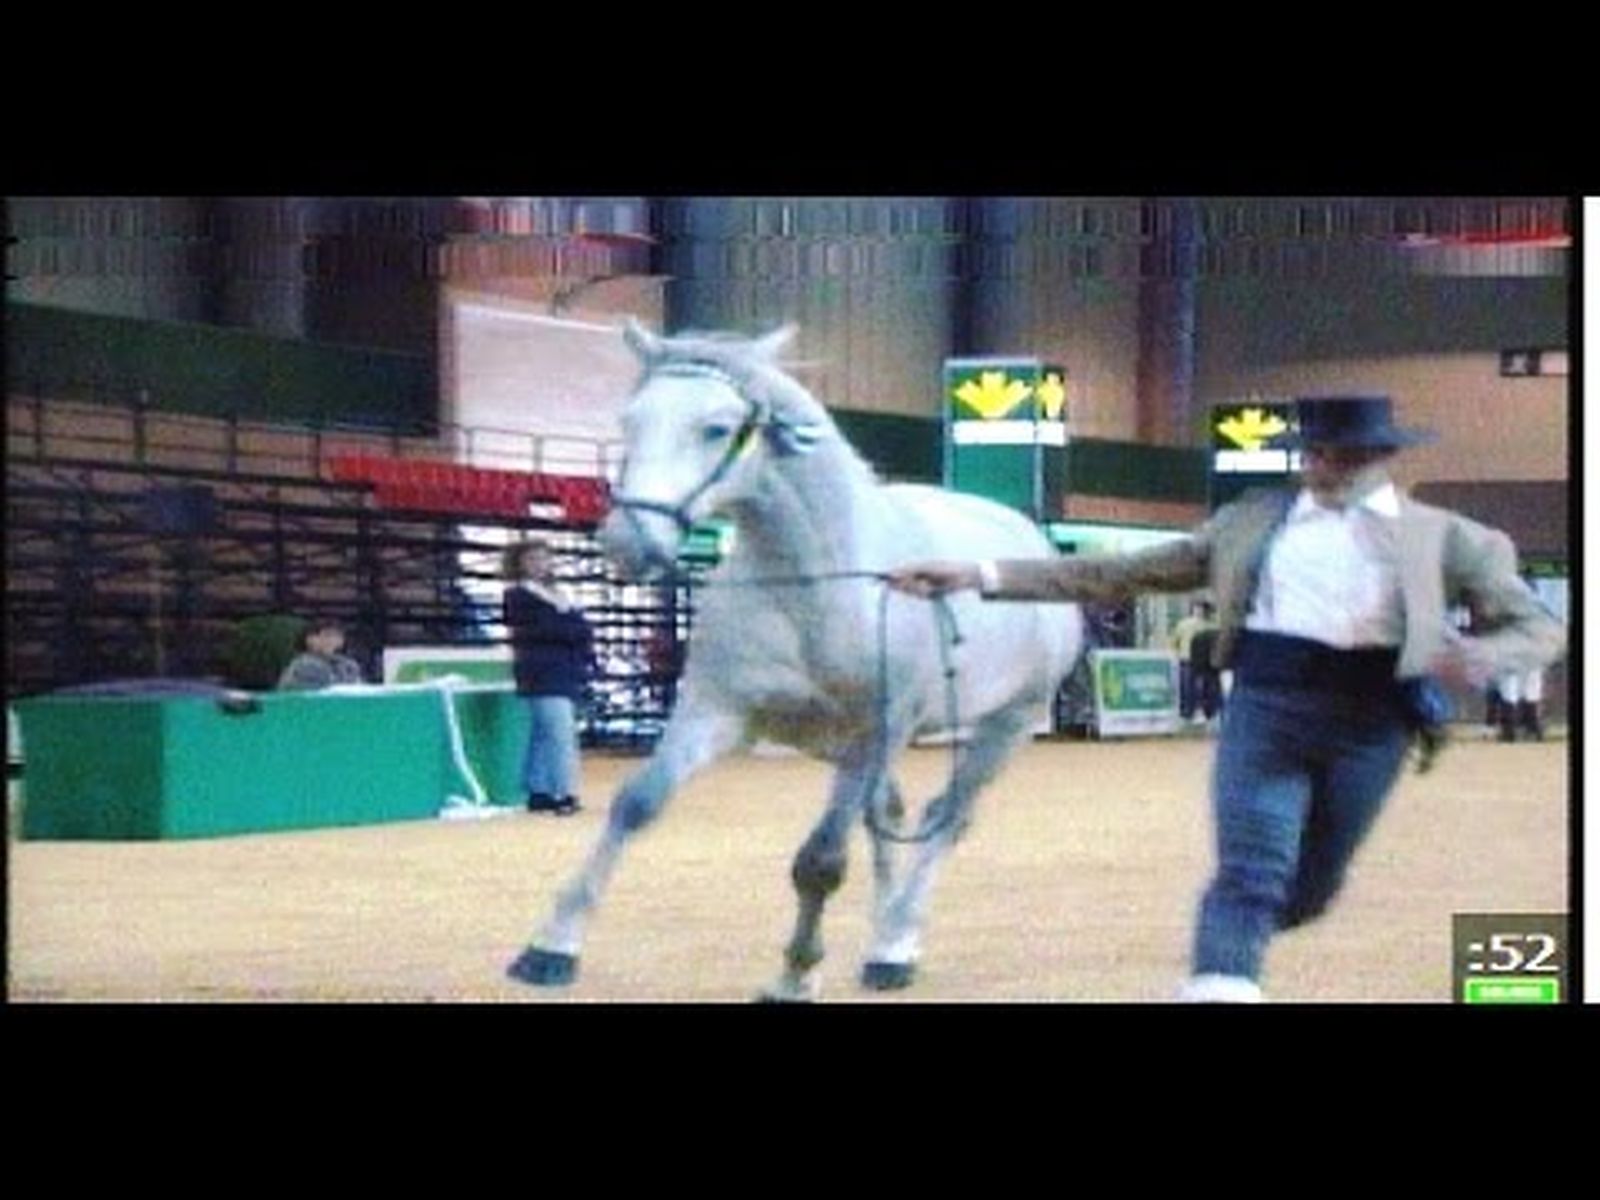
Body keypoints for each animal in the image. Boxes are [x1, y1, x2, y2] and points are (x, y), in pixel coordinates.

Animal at [507, 320, 1084, 1000]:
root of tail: (1029, 538)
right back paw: (882, 931)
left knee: (946, 818)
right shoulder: (716, 710)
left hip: (1003, 727)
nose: (629, 543)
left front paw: (795, 972)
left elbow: (821, 860)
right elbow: (636, 805)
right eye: (631, 420)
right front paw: (551, 946)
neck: (817, 584)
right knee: (888, 816)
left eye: (717, 428)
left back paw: (897, 942)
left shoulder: (875, 732)